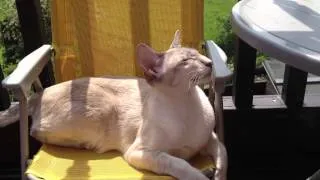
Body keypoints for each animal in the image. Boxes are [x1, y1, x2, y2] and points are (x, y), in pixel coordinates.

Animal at [0, 30, 228, 179]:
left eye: (198, 54)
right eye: (185, 61)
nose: (209, 63)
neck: (186, 102)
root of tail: (40, 92)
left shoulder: (209, 138)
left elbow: (223, 153)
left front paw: (216, 173)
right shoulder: (140, 152)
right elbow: (178, 163)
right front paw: (199, 175)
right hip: (104, 108)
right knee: (35, 131)